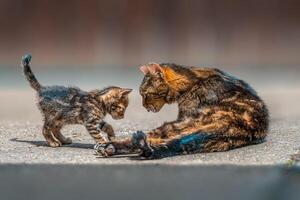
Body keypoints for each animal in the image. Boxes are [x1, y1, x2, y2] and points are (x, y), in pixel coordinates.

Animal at [96, 61, 270, 159]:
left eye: (145, 94)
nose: (144, 106)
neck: (193, 79)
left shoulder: (183, 116)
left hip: (179, 124)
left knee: (152, 139)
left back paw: (109, 146)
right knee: (165, 143)